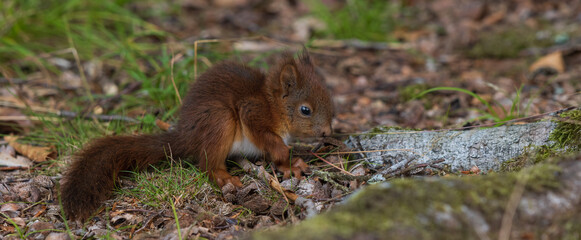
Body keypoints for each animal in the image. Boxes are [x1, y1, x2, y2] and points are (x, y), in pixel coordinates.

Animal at [61, 51, 334, 221]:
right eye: (305, 110)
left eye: (328, 97)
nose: (327, 132)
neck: (274, 106)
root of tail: (185, 137)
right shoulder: (252, 112)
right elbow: (271, 143)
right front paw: (287, 162)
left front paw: (295, 162)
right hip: (220, 121)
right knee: (206, 165)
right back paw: (224, 178)